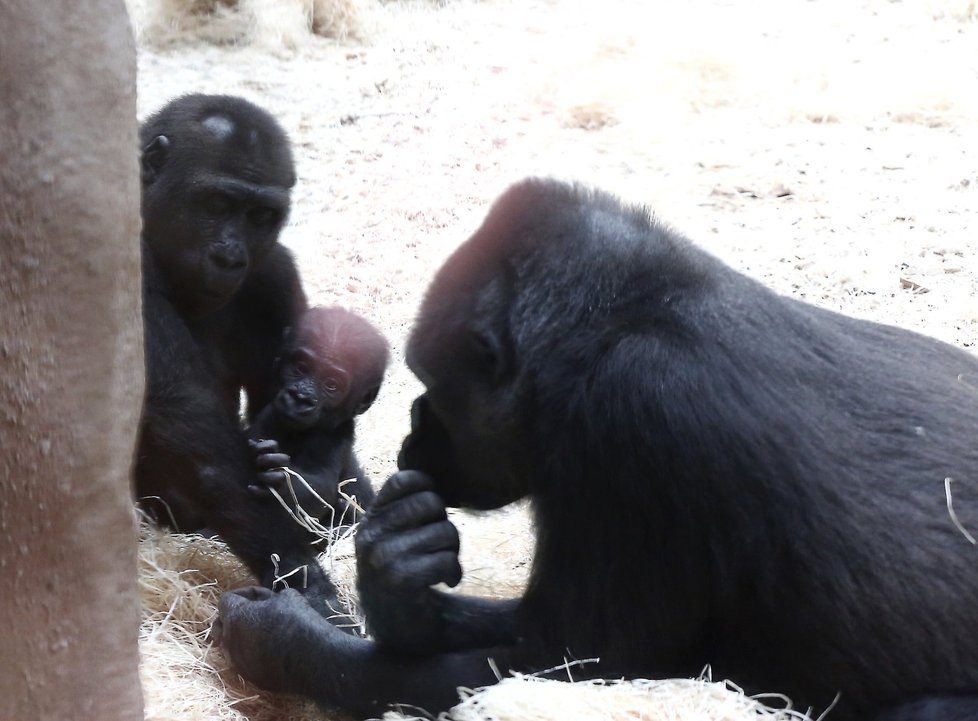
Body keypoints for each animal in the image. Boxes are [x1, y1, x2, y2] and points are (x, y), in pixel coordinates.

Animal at [134, 95, 340, 612]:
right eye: (217, 204)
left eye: (260, 216)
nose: (229, 257)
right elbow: (189, 419)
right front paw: (310, 587)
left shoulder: (275, 273)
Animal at [246, 304, 386, 528]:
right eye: (301, 368)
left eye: (332, 385)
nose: (301, 397)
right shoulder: (272, 411)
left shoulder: (335, 435)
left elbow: (319, 488)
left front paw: (281, 478)